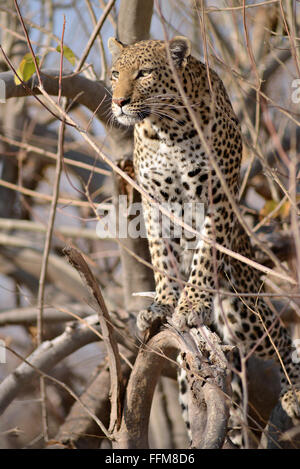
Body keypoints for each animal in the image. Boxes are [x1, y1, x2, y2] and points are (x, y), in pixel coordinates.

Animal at [109, 34, 300, 444]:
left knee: (278, 335)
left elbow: (204, 256)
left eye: (144, 73)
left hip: (244, 311)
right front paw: (163, 305)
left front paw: (192, 304)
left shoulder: (217, 197)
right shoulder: (153, 203)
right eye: (115, 73)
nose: (118, 101)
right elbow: (161, 258)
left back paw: (293, 390)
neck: (165, 130)